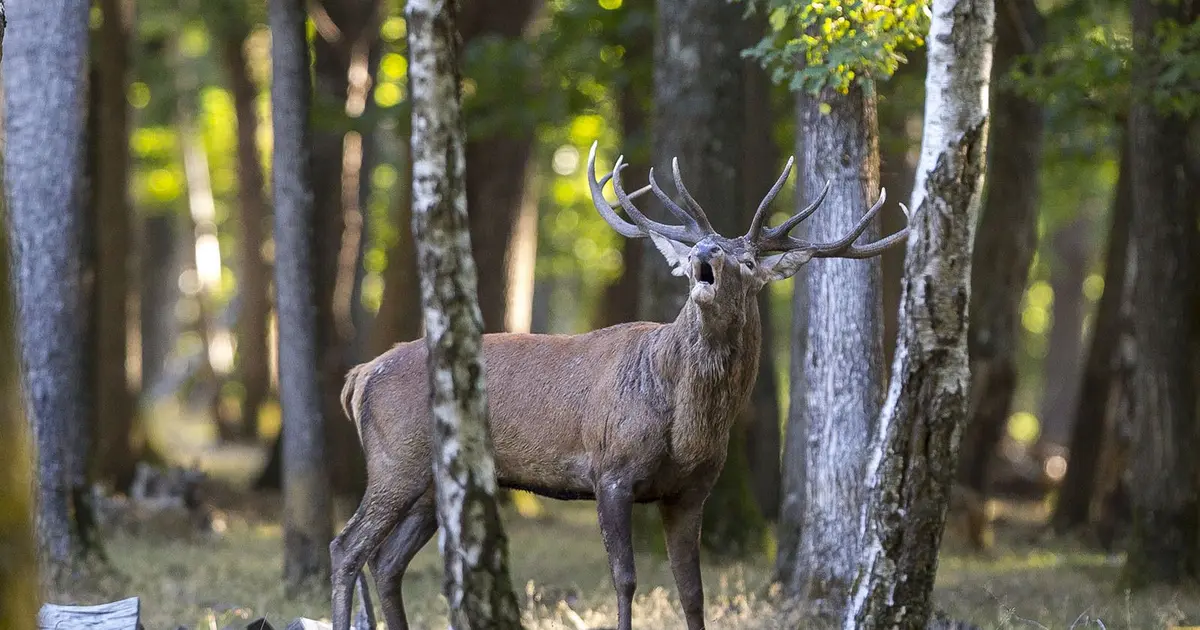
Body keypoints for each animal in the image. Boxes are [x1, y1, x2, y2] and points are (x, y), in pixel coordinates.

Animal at [329, 141, 911, 630]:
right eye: (699, 248)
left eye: (747, 260)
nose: (705, 254)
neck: (688, 426)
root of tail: (359, 376)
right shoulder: (610, 469)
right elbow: (626, 579)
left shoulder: (692, 490)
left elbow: (693, 591)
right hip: (396, 459)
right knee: (348, 547)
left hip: (428, 483)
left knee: (387, 562)